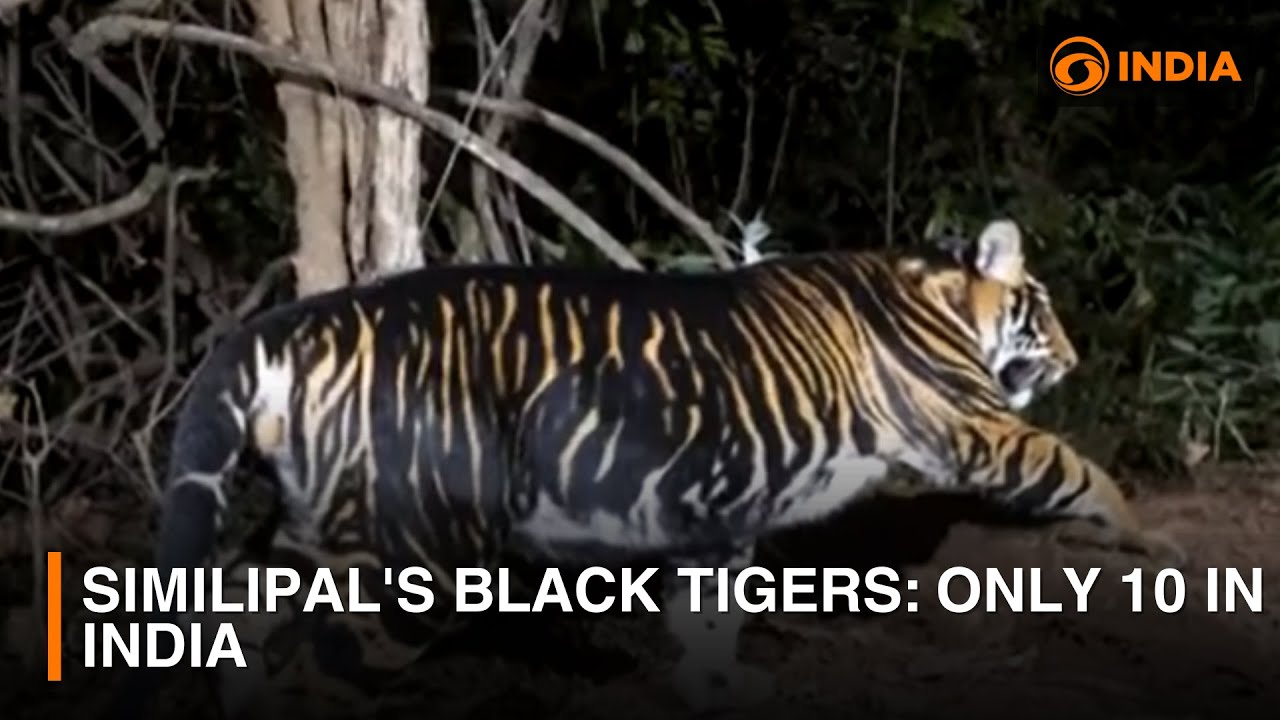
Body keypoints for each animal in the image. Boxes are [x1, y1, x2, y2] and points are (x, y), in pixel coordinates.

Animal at [109, 218, 1185, 720]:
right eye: (1042, 311)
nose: (1074, 361)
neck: (936, 294)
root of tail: (291, 321)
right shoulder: (975, 425)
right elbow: (1075, 466)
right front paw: (1145, 534)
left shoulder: (724, 508)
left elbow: (709, 609)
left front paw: (714, 686)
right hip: (415, 554)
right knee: (323, 661)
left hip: (318, 522)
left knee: (241, 606)